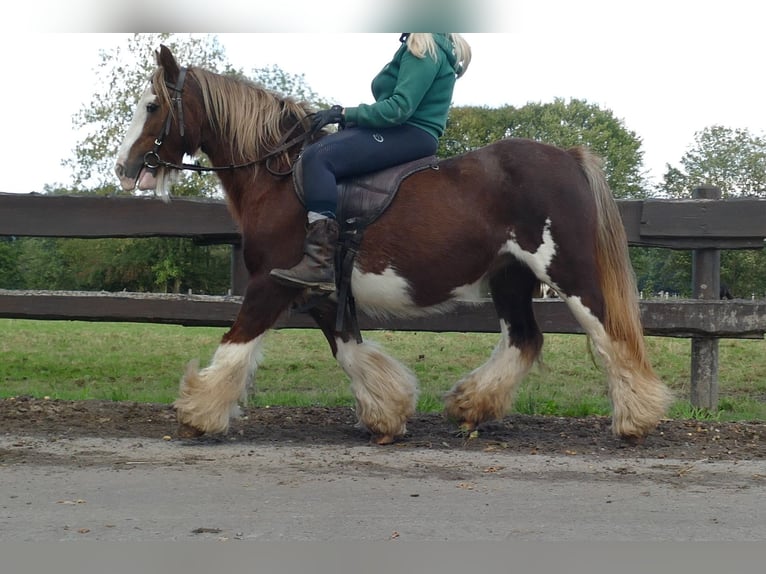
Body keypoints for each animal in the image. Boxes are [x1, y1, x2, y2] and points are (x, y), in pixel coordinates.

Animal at [114, 47, 672, 448]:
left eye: (152, 105)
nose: (124, 167)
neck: (280, 177)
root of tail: (569, 156)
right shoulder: (322, 295)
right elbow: (352, 353)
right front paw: (388, 415)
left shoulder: (269, 287)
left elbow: (235, 348)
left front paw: (197, 414)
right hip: (510, 277)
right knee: (523, 340)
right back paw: (470, 405)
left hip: (569, 274)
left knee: (610, 336)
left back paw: (636, 420)